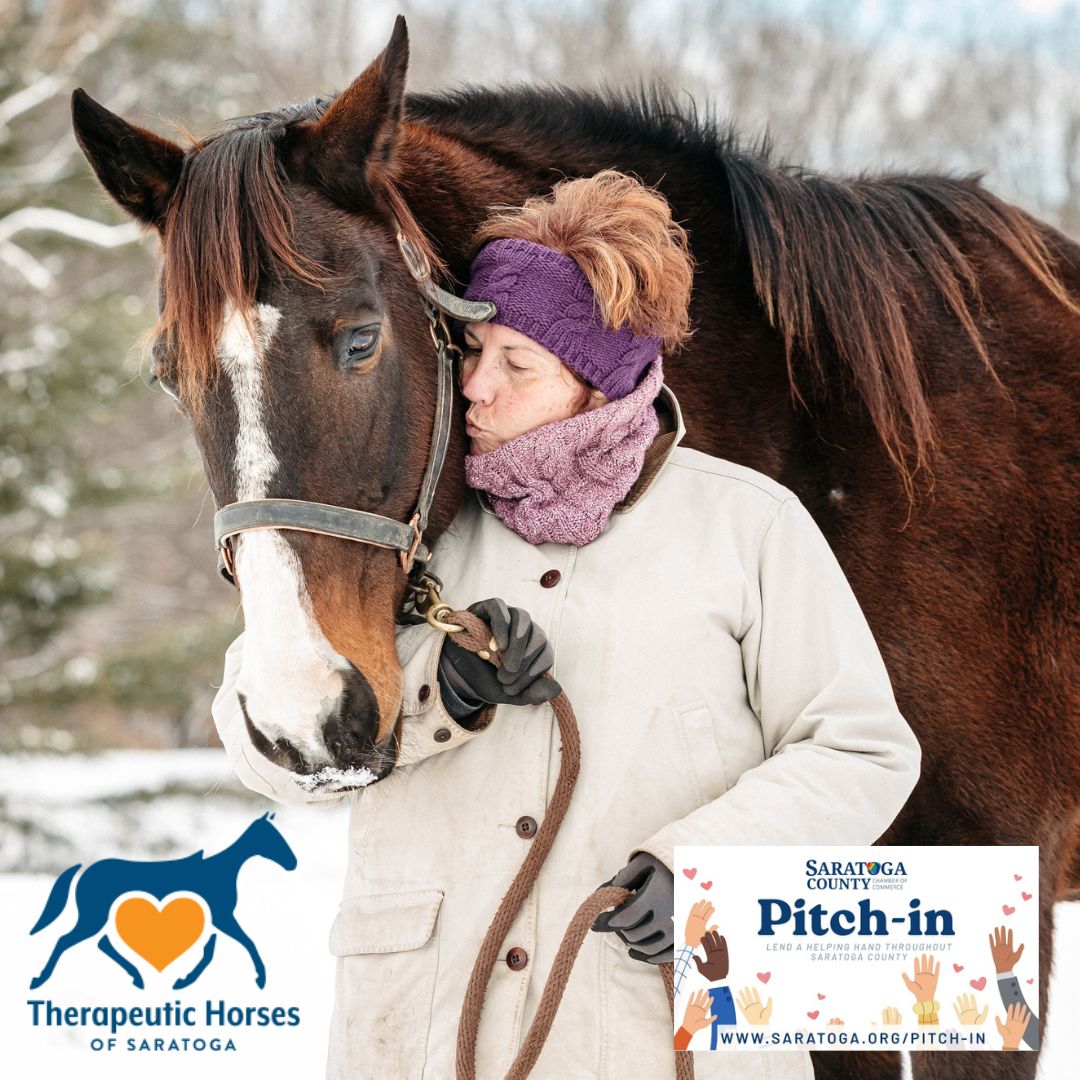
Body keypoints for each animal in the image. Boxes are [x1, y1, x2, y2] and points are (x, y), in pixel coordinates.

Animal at [29, 811, 295, 990]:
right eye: (271, 837)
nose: (293, 863)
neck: (221, 870)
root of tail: (85, 870)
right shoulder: (223, 917)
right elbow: (246, 942)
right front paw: (260, 978)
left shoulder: (214, 920)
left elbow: (210, 950)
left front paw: (183, 980)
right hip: (92, 917)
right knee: (66, 940)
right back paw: (40, 979)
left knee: (102, 943)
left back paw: (137, 977)